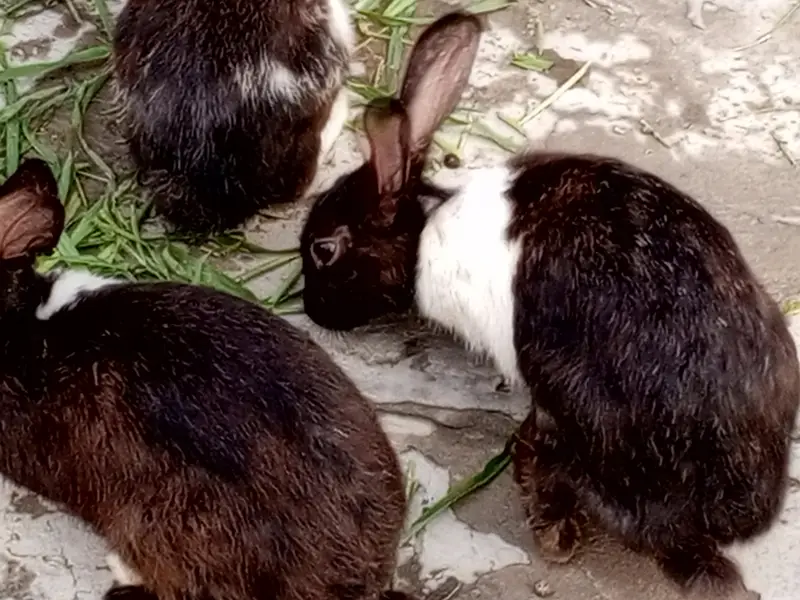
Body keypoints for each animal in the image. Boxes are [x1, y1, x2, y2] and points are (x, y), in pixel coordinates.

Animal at [297, 11, 800, 599]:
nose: (311, 309)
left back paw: (553, 526)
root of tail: (731, 513)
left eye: (324, 249)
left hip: (568, 394)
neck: (424, 230)